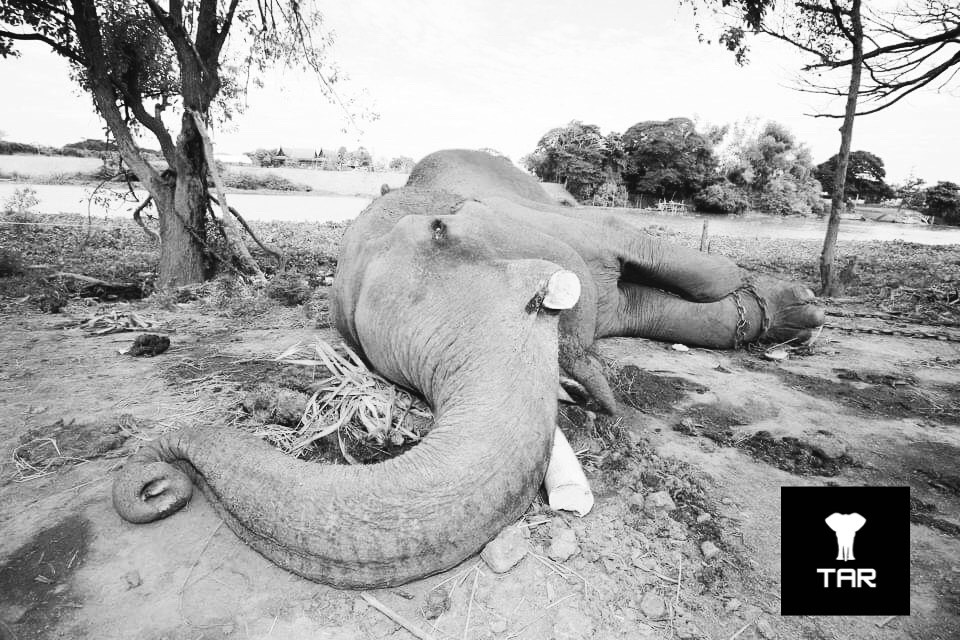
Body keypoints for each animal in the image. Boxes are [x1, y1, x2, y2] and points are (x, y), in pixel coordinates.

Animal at [113, 149, 824, 589]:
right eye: (393, 372)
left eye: (441, 232)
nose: (155, 477)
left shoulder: (554, 227)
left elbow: (664, 257)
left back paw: (800, 309)